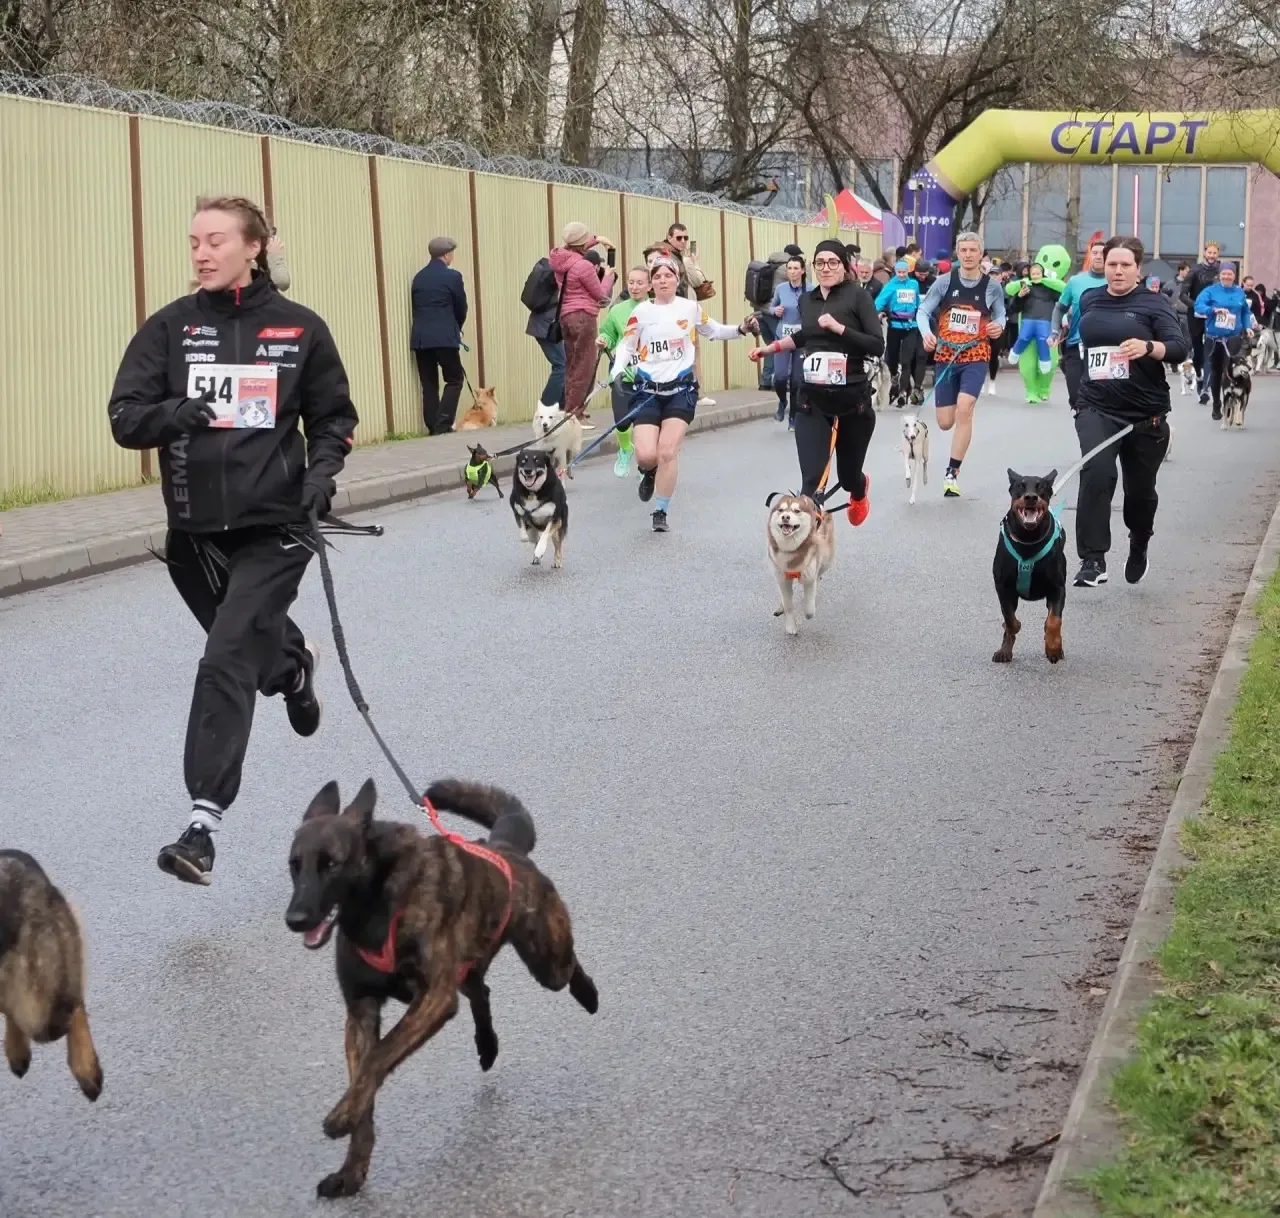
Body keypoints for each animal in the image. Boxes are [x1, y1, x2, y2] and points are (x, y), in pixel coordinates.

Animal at [286, 778, 598, 1199]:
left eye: (331, 864)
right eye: (294, 866)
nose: (295, 919)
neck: (375, 906)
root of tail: (503, 848)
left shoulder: (433, 997)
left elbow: (379, 1057)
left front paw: (341, 1117)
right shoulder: (362, 1012)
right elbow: (364, 1079)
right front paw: (351, 1168)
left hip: (545, 961)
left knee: (565, 968)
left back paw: (588, 994)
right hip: (467, 966)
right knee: (480, 990)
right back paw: (487, 1045)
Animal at [766, 492, 835, 636]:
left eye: (796, 511)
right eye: (781, 510)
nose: (785, 517)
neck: (791, 550)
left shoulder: (809, 577)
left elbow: (809, 608)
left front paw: (809, 612)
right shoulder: (782, 578)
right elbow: (788, 605)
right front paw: (790, 626)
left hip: (826, 559)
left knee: (819, 575)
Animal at [992, 469, 1067, 665]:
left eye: (1041, 486)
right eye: (1020, 485)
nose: (1031, 497)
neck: (1028, 539)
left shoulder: (1057, 587)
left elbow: (1054, 621)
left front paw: (1053, 648)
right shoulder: (1002, 586)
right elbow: (1009, 618)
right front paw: (1014, 626)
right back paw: (1004, 651)